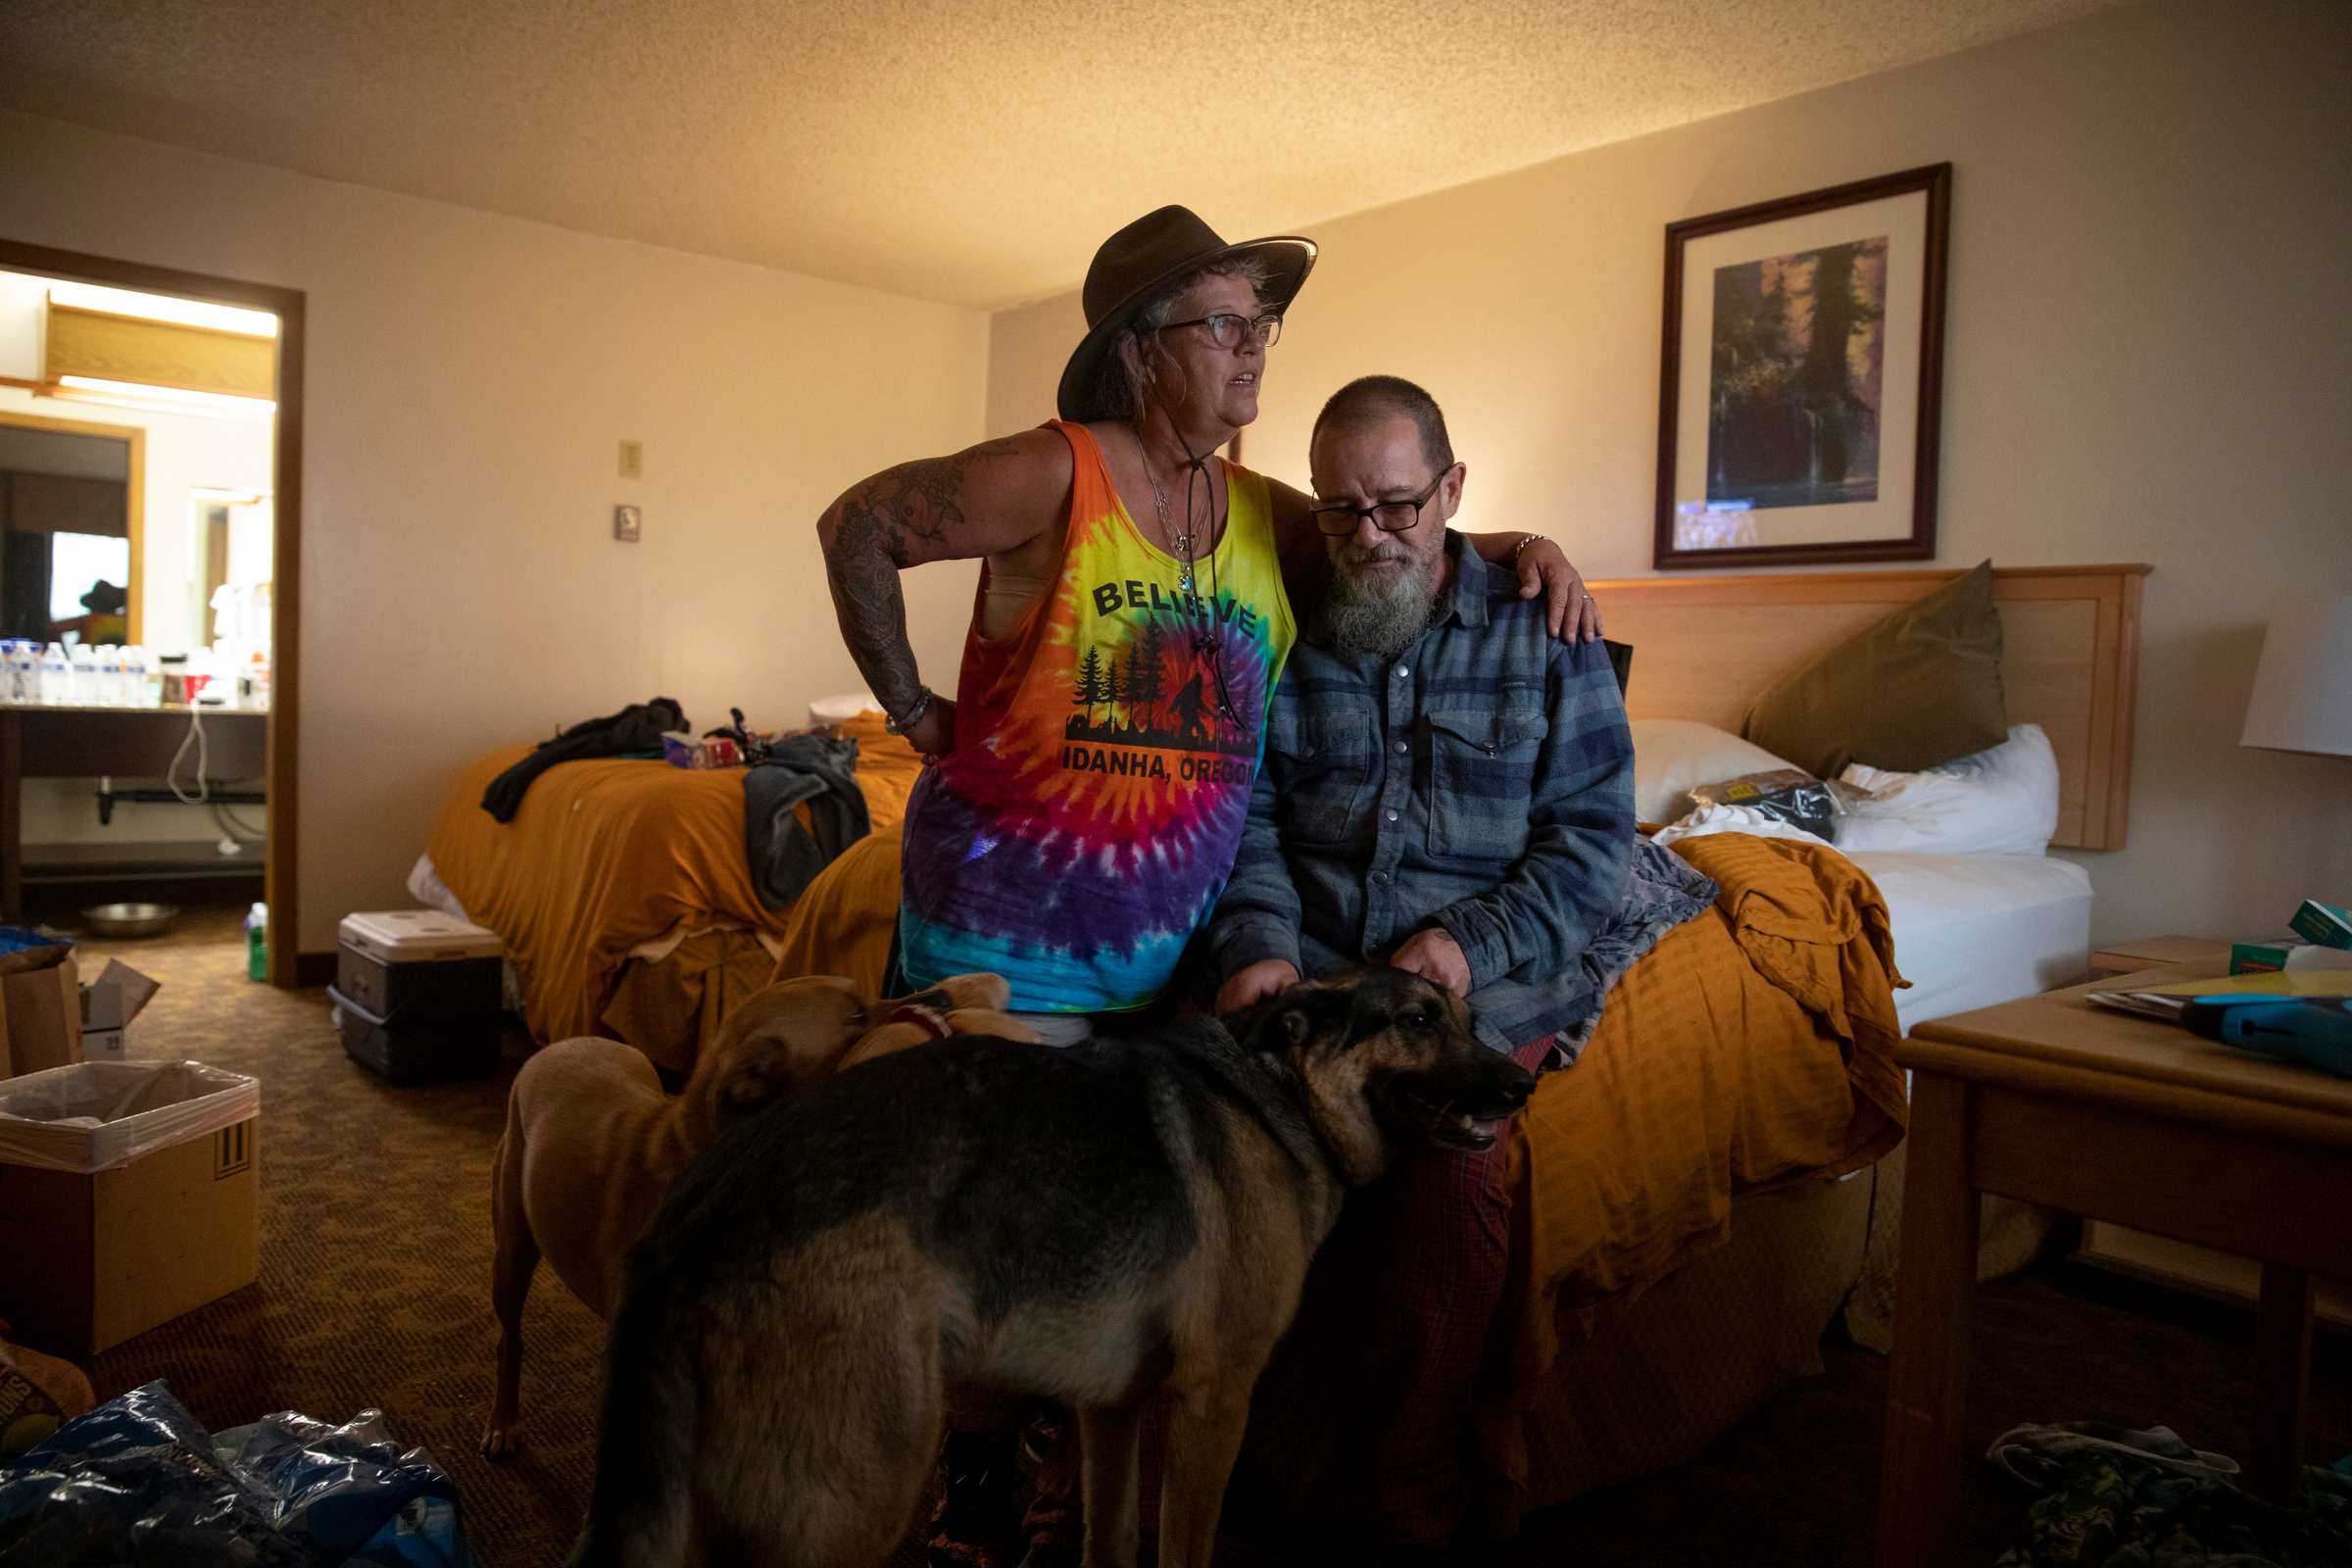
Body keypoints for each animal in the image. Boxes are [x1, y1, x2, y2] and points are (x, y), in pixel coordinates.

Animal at [560, 968, 1533, 1568]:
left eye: (1468, 1021)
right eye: (1418, 1021)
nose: (1521, 1088)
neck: (1277, 1093)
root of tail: (697, 1212)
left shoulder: (1112, 1409)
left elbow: (1110, 1537)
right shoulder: (1214, 1403)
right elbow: (1184, 1546)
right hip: (859, 1494)